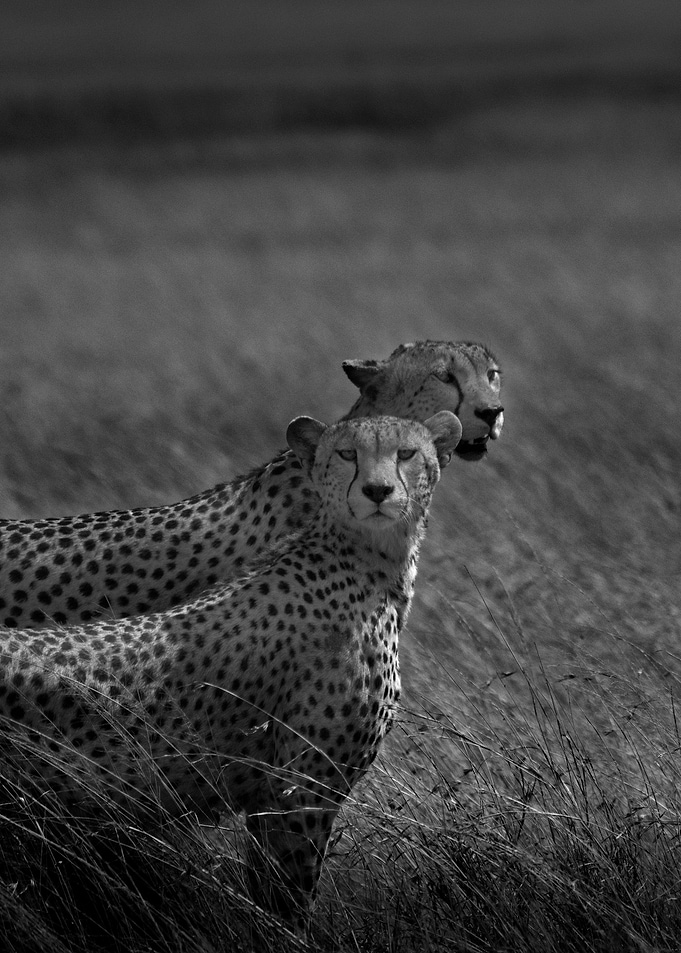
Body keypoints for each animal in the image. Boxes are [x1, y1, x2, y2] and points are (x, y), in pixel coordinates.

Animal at [0, 410, 463, 925]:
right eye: (347, 454)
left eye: (407, 453)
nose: (377, 491)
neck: (369, 558)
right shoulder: (299, 796)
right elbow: (288, 909)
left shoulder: (273, 798)